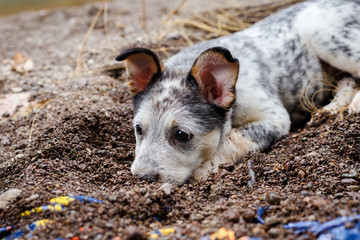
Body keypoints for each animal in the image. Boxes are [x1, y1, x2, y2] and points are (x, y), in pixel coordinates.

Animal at [116, 0, 360, 185]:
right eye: (138, 129)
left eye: (181, 134)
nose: (142, 178)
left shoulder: (275, 117)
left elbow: (234, 139)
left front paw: (203, 170)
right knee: (348, 79)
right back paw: (330, 110)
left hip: (322, 33)